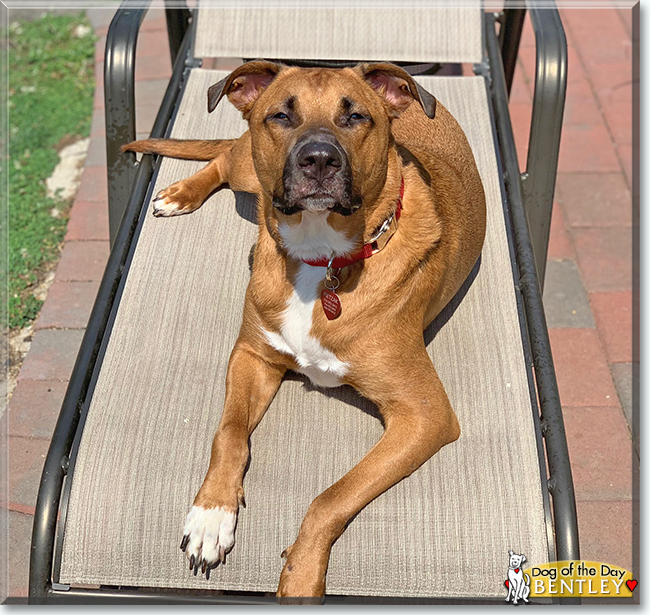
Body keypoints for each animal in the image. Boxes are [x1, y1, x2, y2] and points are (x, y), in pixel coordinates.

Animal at [124, 60, 484, 600]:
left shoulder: (426, 415)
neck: (322, 258)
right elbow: (229, 433)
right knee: (226, 159)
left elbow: (331, 496)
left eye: (355, 116)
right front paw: (211, 514)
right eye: (280, 115)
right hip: (251, 173)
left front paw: (300, 572)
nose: (319, 160)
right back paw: (181, 193)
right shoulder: (252, 355)